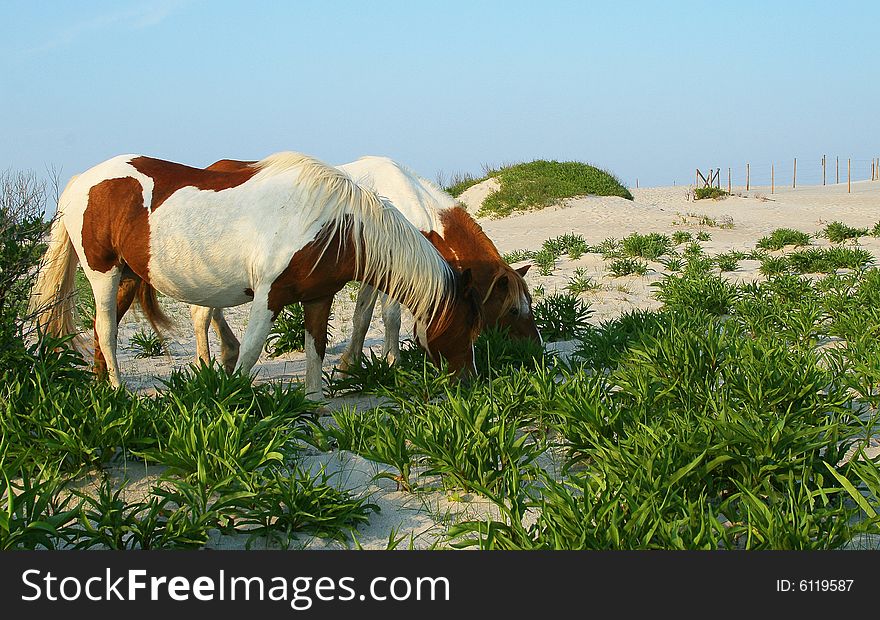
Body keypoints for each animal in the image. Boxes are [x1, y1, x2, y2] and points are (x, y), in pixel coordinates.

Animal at [29, 152, 482, 390]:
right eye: (467, 326)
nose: (472, 380)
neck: (334, 225)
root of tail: (80, 180)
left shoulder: (318, 298)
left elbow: (315, 351)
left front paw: (314, 405)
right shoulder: (268, 295)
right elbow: (250, 351)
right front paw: (229, 400)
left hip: (126, 276)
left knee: (101, 332)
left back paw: (102, 389)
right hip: (102, 274)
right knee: (106, 329)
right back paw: (120, 391)